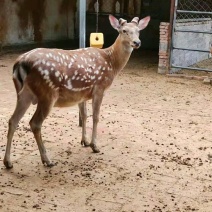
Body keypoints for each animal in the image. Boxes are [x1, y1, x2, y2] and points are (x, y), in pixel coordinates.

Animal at [3, 14, 151, 168]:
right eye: (124, 31)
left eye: (138, 31)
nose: (137, 42)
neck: (111, 62)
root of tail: (20, 63)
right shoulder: (99, 87)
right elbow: (96, 116)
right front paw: (94, 146)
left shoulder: (82, 93)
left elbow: (84, 115)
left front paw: (84, 141)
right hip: (47, 93)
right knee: (35, 123)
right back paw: (47, 160)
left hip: (23, 93)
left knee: (13, 120)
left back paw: (8, 162)